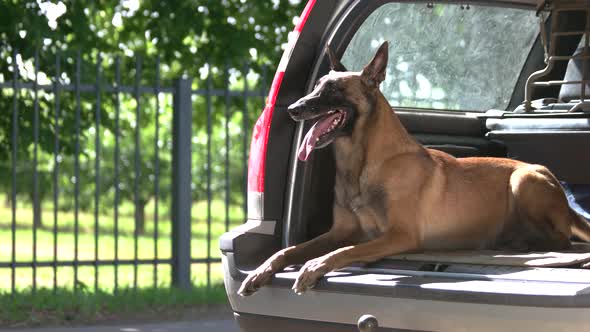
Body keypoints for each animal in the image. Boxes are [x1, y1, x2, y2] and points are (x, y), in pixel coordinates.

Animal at [238, 40, 590, 296]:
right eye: (317, 87)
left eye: (334, 90)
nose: (293, 109)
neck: (364, 163)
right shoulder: (339, 231)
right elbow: (289, 250)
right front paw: (262, 269)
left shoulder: (399, 235)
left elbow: (345, 250)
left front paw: (313, 266)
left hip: (523, 179)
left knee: (560, 240)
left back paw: (523, 243)